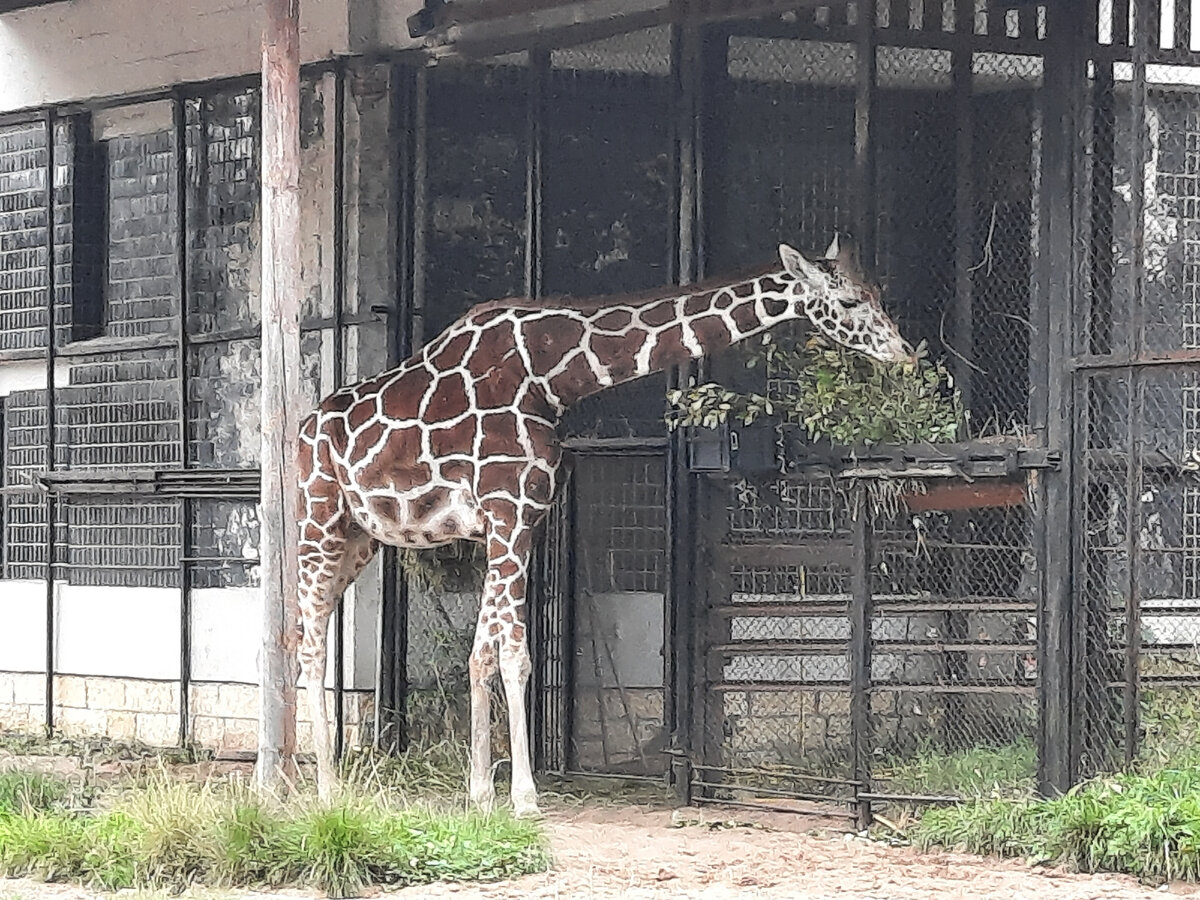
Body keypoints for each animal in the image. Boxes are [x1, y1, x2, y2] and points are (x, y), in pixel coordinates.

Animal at [295, 236, 912, 816]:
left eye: (879, 292)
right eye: (850, 301)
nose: (905, 354)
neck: (552, 374)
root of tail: (303, 430)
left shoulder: (519, 521)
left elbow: (482, 654)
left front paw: (481, 793)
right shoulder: (507, 511)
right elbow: (515, 655)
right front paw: (524, 797)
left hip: (360, 540)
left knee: (304, 631)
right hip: (318, 520)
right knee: (309, 641)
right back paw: (321, 789)